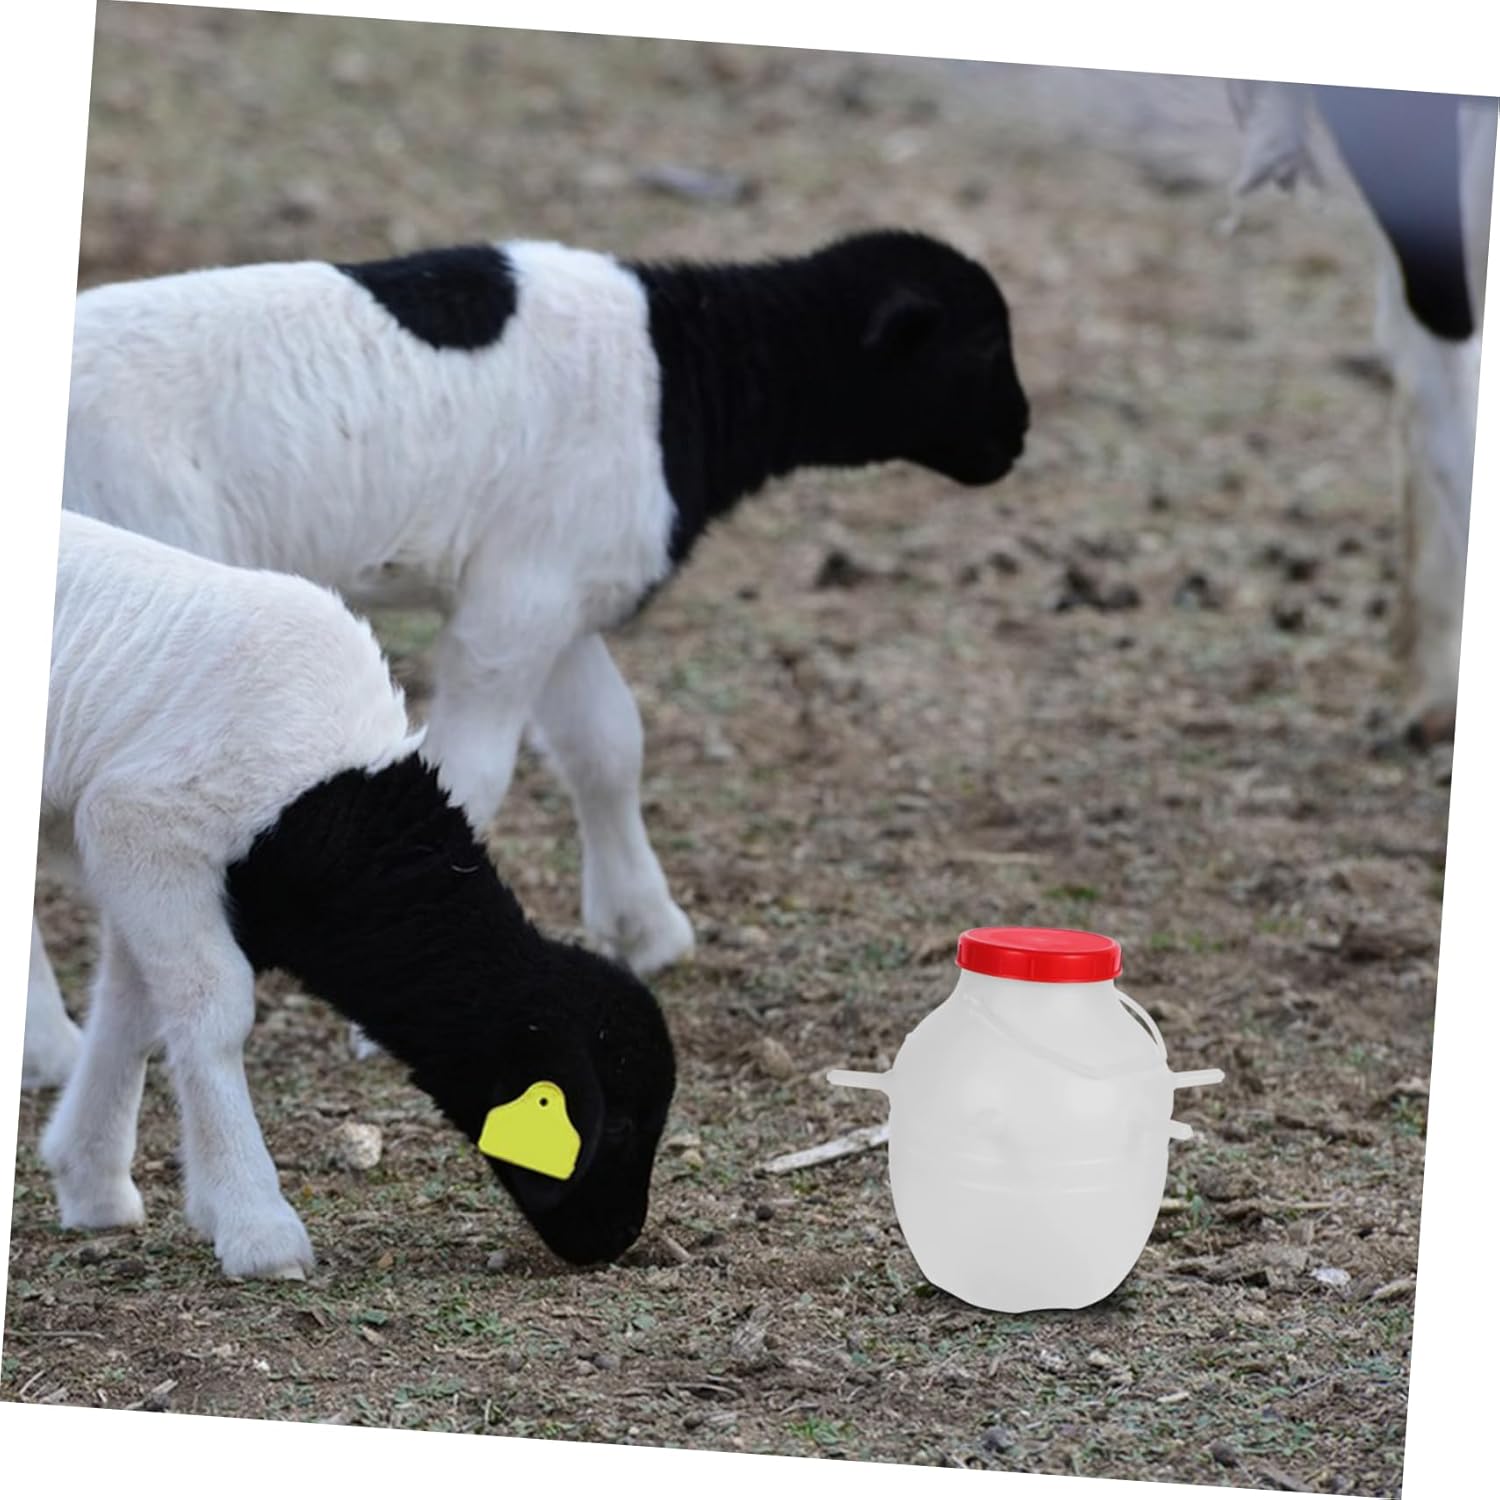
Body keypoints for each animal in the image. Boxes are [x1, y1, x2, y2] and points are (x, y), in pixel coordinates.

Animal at [27, 511, 677, 1279]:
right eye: (620, 1122)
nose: (617, 1239)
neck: (331, 805)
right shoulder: (144, 830)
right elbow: (212, 1015)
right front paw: (258, 1227)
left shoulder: (151, 867)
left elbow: (135, 1014)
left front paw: (92, 1181)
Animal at [63, 228, 1030, 985]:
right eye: (984, 348)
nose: (1019, 438)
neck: (686, 371)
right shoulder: (514, 607)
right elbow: (473, 771)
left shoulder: (562, 590)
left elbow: (607, 746)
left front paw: (646, 928)